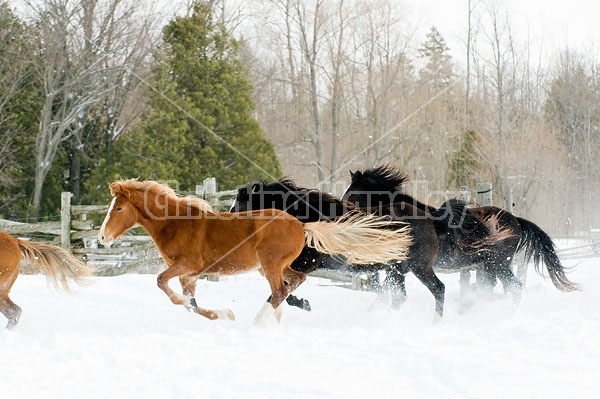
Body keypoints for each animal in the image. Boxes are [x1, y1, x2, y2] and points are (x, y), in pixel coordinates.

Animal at [98, 180, 412, 324]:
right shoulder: (191, 275)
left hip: (269, 265)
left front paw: (225, 314)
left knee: (280, 291)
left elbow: (163, 283)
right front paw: (222, 315)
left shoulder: (187, 266)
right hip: (276, 266)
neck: (177, 223)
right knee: (292, 283)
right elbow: (192, 305)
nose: (102, 237)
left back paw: (259, 322)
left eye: (119, 208)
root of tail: (302, 225)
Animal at [232, 178, 504, 318]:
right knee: (399, 296)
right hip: (397, 270)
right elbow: (284, 292)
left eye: (241, 203)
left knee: (439, 289)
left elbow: (282, 293)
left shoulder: (308, 263)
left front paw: (300, 305)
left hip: (419, 267)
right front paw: (303, 303)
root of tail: (431, 217)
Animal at [342, 164, 580, 304]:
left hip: (499, 263)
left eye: (352, 194)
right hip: (491, 265)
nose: (343, 211)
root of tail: (517, 221)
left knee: (514, 287)